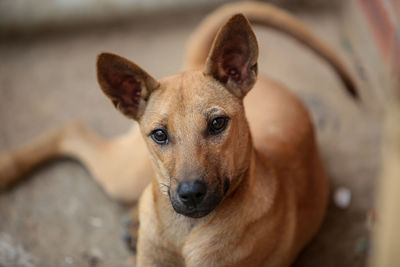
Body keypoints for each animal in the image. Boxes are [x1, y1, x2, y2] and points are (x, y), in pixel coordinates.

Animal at [0, 2, 356, 267]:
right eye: (159, 134)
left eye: (217, 124)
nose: (190, 194)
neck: (184, 233)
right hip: (126, 173)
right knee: (72, 130)